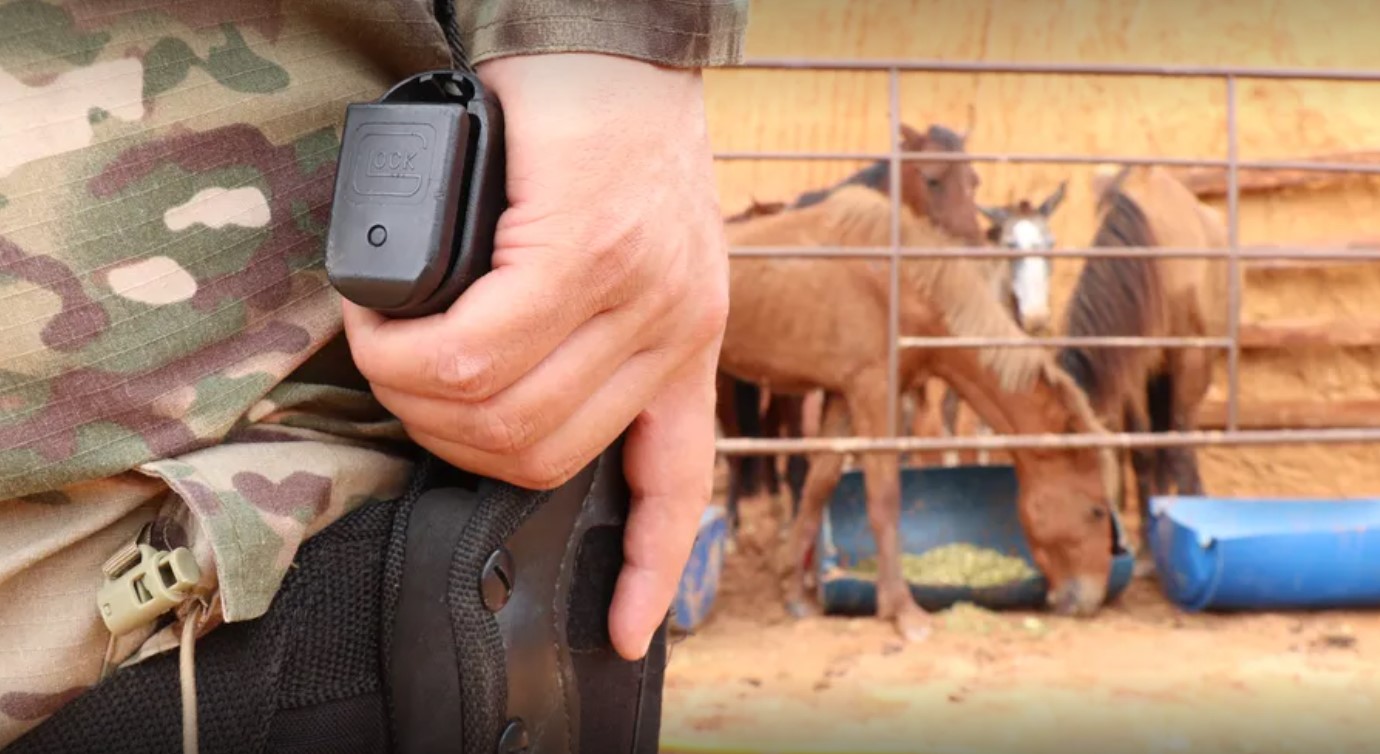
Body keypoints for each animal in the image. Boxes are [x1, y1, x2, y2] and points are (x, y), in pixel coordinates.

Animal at [717, 180, 1126, 635]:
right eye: (1095, 511)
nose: (1088, 600)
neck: (898, 281)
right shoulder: (875, 393)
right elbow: (884, 499)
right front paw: (902, 609)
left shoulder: (845, 396)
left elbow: (818, 485)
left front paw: (796, 594)